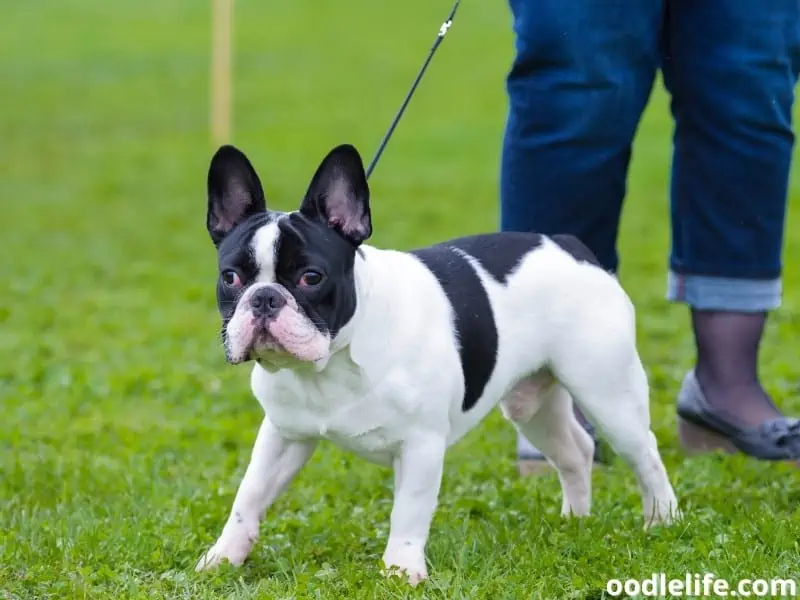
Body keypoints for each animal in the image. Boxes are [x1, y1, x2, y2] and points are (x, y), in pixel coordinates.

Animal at [197, 143, 680, 584]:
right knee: (576, 450)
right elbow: (249, 496)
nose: (264, 298)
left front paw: (401, 569)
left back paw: (662, 520)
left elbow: (409, 510)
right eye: (230, 277)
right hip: (532, 406)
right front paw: (223, 557)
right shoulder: (283, 436)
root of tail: (568, 246)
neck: (331, 362)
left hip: (607, 392)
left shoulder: (421, 444)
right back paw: (575, 520)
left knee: (645, 453)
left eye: (310, 277)